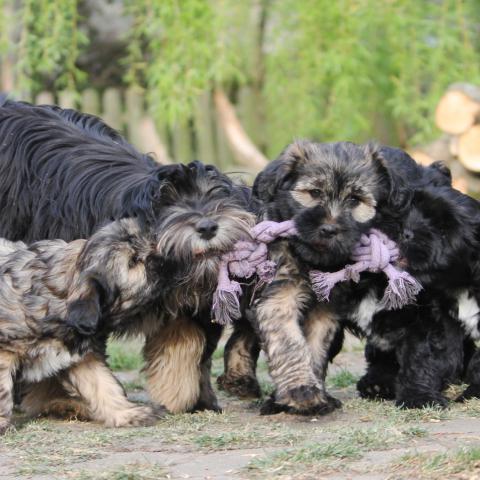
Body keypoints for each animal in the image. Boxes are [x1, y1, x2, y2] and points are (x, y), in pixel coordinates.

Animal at [0, 99, 255, 414]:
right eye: (168, 201)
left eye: (217, 194)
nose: (207, 227)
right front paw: (55, 397)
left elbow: (192, 344)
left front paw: (190, 396)